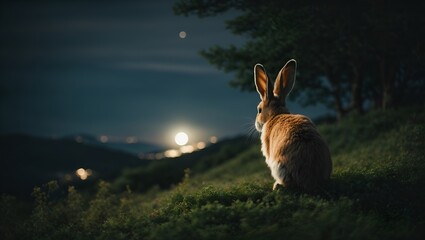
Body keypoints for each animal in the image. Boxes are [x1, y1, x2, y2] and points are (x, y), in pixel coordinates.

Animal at [252, 58, 332, 191]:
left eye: (259, 110)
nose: (257, 124)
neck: (275, 115)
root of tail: (312, 181)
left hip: (279, 167)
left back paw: (277, 186)